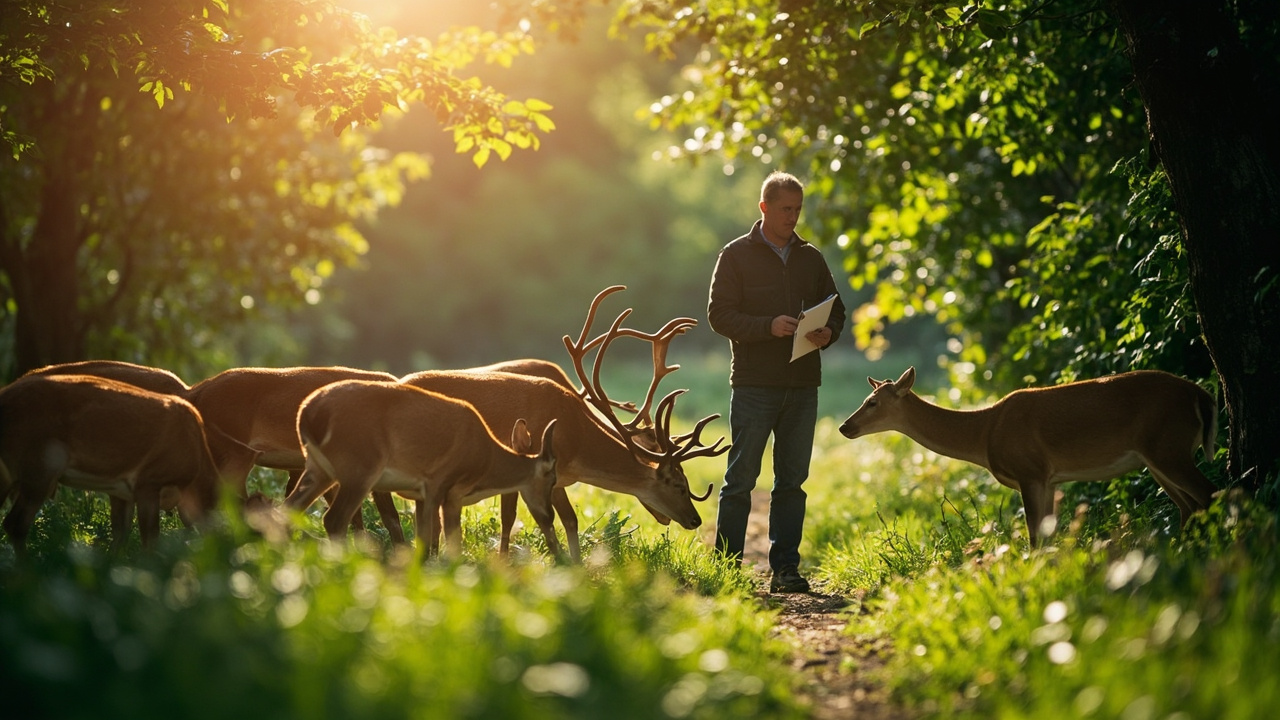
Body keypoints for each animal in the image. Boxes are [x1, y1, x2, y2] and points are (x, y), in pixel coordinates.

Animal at [0, 374, 221, 553]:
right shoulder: (148, 481)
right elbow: (150, 541)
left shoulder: (123, 492)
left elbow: (119, 538)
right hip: (41, 464)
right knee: (16, 524)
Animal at [282, 379, 561, 557]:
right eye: (552, 478)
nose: (549, 515)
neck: (485, 463)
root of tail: (308, 414)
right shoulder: (440, 482)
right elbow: (445, 541)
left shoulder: (424, 494)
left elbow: (427, 541)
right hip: (360, 467)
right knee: (334, 518)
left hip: (318, 468)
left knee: (288, 508)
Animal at [402, 286, 729, 562]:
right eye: (678, 484)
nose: (696, 519)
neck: (576, 441)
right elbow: (523, 518)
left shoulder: (556, 477)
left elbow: (569, 519)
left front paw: (577, 565)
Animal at [838, 366, 1221, 546]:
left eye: (872, 402)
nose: (844, 426)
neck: (984, 432)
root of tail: (1201, 394)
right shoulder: (1050, 478)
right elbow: (1048, 533)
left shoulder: (1030, 471)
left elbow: (1035, 535)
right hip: (1158, 457)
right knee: (1190, 505)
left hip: (1167, 447)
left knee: (1209, 493)